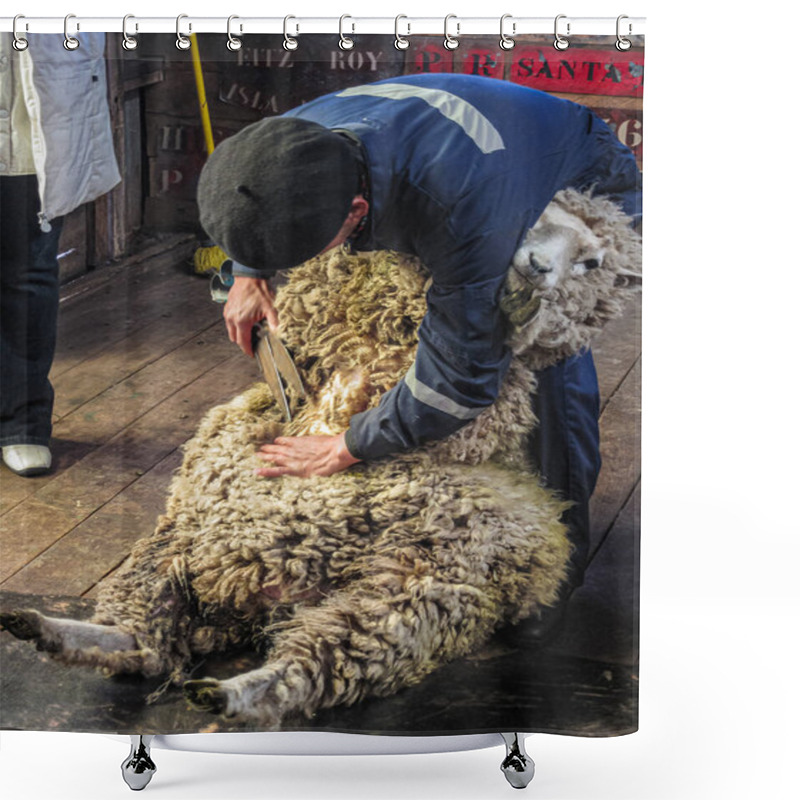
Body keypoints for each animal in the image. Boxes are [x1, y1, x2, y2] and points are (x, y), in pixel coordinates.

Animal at [0, 191, 636, 728]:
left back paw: (228, 694)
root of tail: (269, 592)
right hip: (175, 545)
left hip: (416, 590)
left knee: (314, 664)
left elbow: (467, 392)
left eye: (592, 262)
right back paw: (50, 630)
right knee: (148, 645)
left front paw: (519, 310)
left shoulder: (482, 397)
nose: (534, 268)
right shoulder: (324, 322)